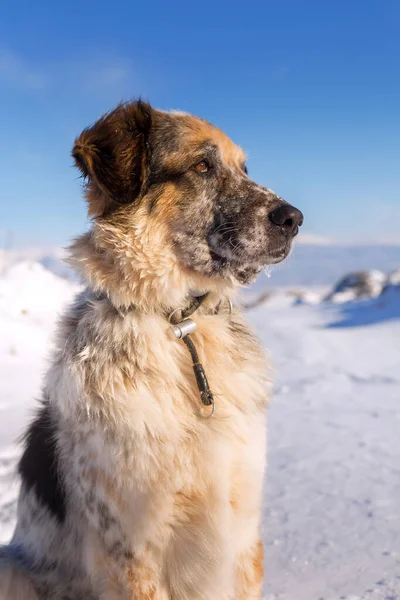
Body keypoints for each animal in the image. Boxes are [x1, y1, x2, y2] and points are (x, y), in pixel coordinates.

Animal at [0, 101, 304, 596]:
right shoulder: (131, 547)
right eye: (201, 166)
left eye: (244, 169)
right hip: (14, 570)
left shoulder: (242, 528)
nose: (294, 219)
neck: (179, 325)